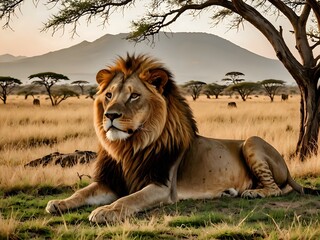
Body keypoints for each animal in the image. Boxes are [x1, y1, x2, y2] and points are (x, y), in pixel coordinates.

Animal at [45, 54, 320, 223]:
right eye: (109, 95)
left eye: (134, 96)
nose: (110, 115)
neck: (130, 147)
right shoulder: (110, 182)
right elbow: (81, 193)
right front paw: (58, 203)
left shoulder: (162, 186)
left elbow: (129, 199)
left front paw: (105, 211)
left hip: (252, 141)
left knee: (278, 189)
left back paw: (255, 194)